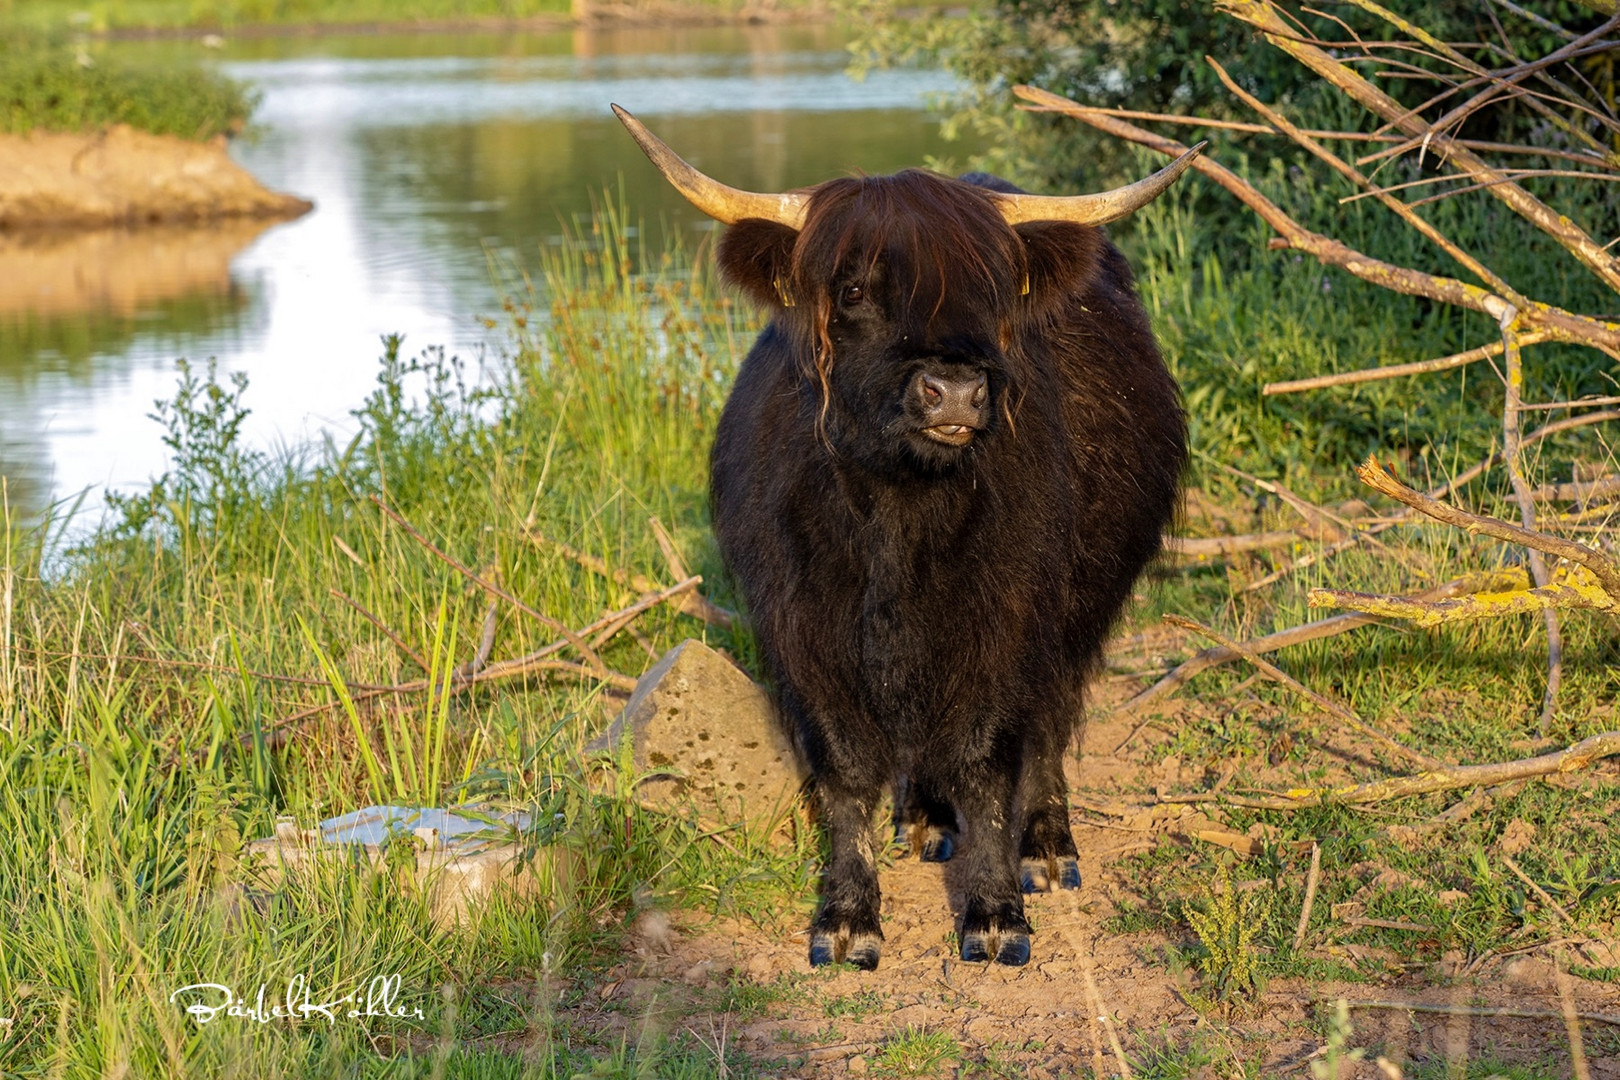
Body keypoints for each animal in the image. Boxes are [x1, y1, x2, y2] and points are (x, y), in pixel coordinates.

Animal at [612, 107, 1198, 971]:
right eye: (855, 289)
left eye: (992, 294)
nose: (953, 390)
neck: (896, 508)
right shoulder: (805, 629)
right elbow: (847, 768)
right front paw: (847, 919)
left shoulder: (1006, 618)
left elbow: (986, 759)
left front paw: (996, 915)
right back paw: (925, 818)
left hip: (1080, 604)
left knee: (1051, 717)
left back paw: (1046, 846)